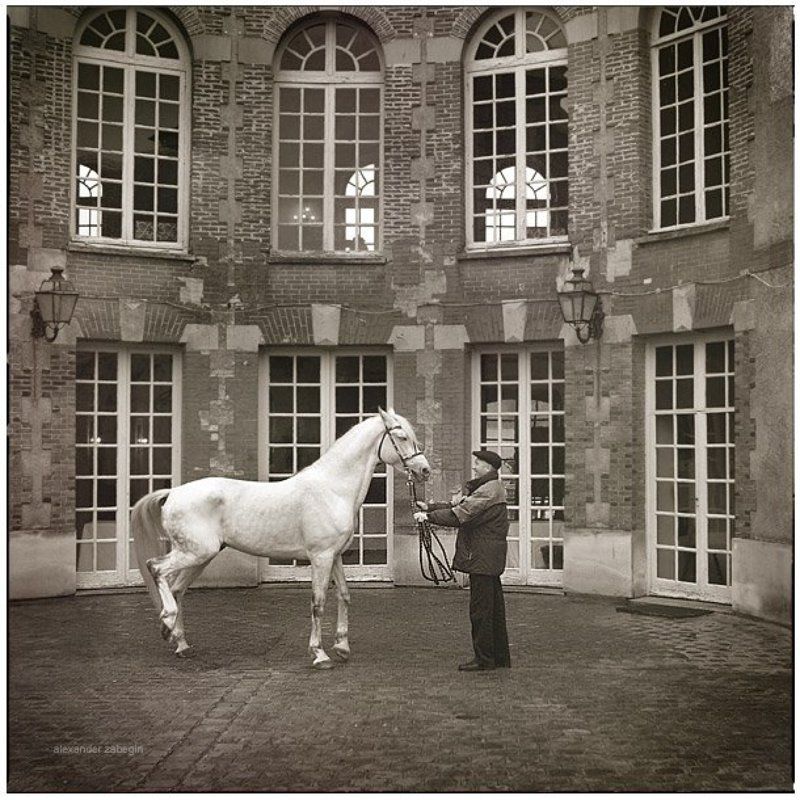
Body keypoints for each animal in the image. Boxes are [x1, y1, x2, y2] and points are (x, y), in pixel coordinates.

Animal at [131, 407, 430, 669]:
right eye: (401, 437)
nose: (424, 470)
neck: (333, 490)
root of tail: (172, 493)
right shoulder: (320, 557)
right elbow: (318, 603)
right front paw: (319, 654)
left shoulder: (334, 557)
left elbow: (344, 596)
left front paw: (342, 647)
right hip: (195, 553)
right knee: (156, 568)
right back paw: (167, 622)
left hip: (199, 557)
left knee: (176, 588)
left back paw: (180, 642)